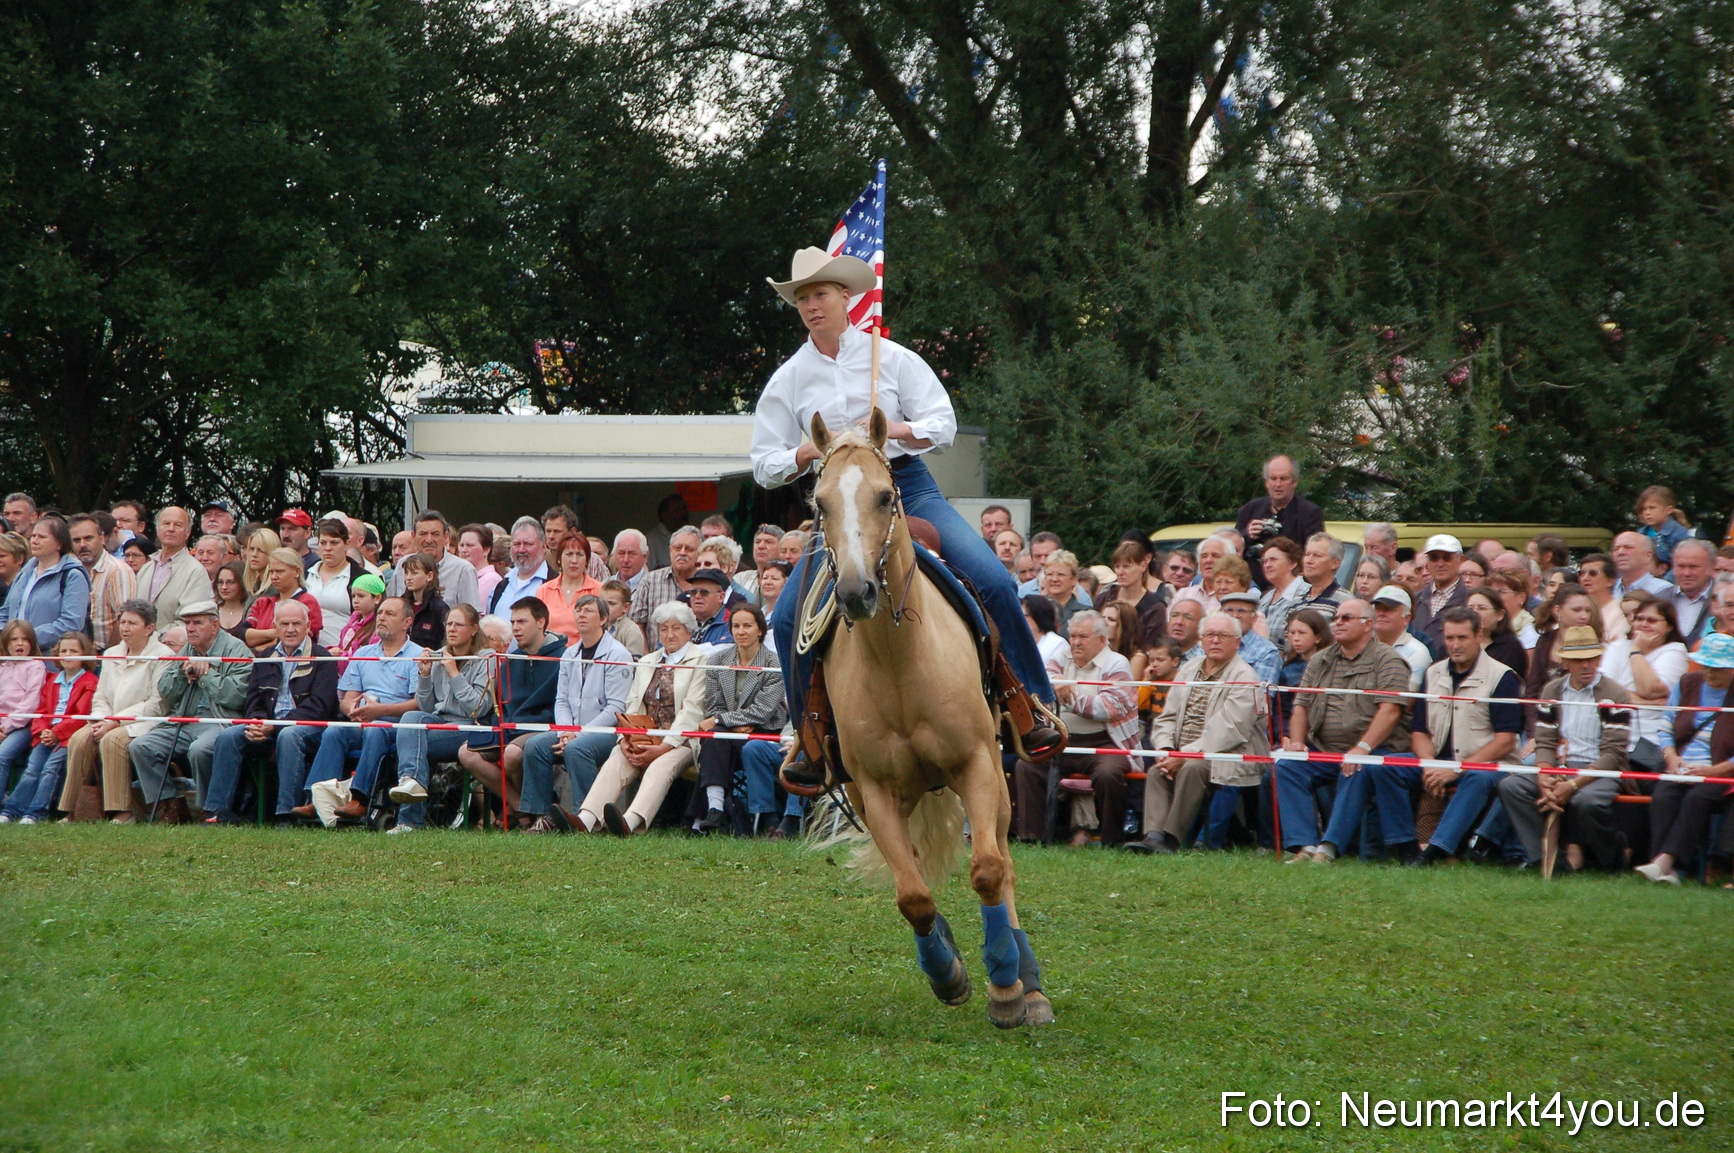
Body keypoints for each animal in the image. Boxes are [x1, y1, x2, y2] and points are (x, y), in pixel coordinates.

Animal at [805, 409, 1053, 1029]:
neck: (900, 663)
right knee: (914, 870)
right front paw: (948, 972)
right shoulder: (874, 790)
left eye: (883, 495)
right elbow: (913, 895)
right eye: (821, 502)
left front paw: (1006, 988)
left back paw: (1031, 986)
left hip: (998, 781)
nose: (856, 592)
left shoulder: (978, 766)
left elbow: (987, 870)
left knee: (1004, 863)